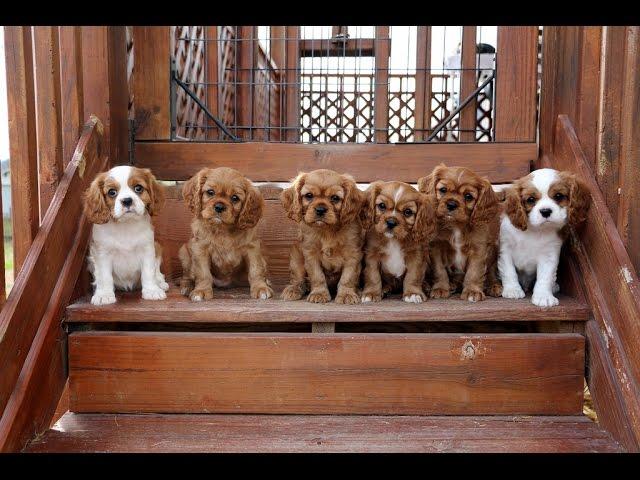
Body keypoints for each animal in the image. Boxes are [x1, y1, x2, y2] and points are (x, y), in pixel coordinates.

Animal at [82, 167, 168, 306]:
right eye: (112, 192)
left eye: (138, 188)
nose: (127, 200)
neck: (125, 224)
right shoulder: (102, 253)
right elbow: (104, 276)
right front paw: (104, 295)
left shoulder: (147, 249)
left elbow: (148, 272)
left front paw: (152, 291)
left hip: (157, 246)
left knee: (157, 272)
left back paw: (160, 282)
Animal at [500, 167, 592, 306]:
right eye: (531, 199)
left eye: (558, 196)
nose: (545, 211)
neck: (535, 230)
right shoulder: (505, 249)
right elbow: (509, 271)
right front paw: (512, 290)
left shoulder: (549, 255)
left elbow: (545, 276)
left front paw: (543, 296)